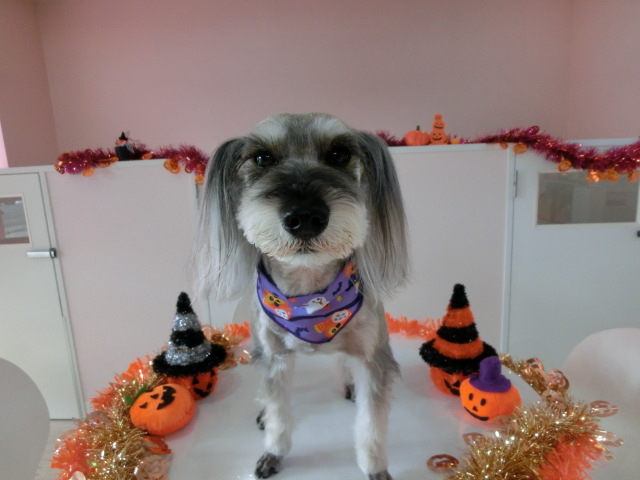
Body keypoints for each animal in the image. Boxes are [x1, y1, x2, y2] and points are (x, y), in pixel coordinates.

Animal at [192, 113, 409, 479]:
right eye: (262, 158)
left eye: (339, 154)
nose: (305, 216)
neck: (309, 298)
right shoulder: (274, 357)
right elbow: (278, 412)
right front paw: (273, 453)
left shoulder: (373, 357)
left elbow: (372, 424)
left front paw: (375, 467)